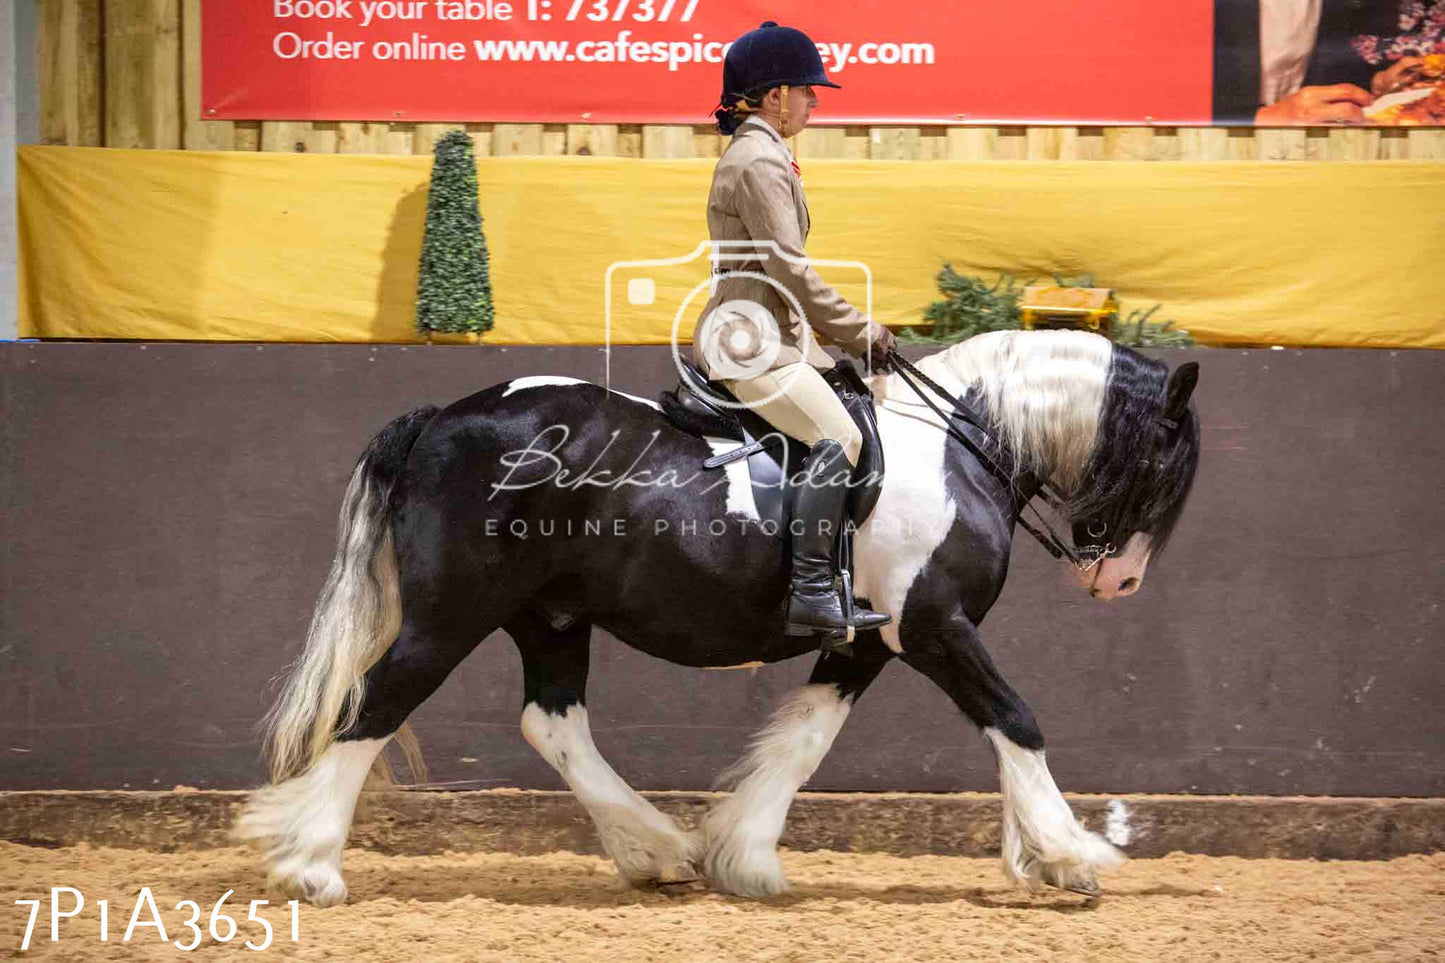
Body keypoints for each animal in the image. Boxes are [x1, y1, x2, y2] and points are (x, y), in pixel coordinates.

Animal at [236, 326, 1202, 902]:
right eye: (1165, 460)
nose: (1118, 581)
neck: (957, 447)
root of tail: (444, 417)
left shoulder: (864, 645)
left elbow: (803, 742)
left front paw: (746, 856)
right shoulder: (934, 628)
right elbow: (1015, 719)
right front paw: (1071, 853)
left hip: (550, 615)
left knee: (553, 721)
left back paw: (657, 850)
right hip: (451, 615)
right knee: (374, 706)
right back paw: (311, 865)